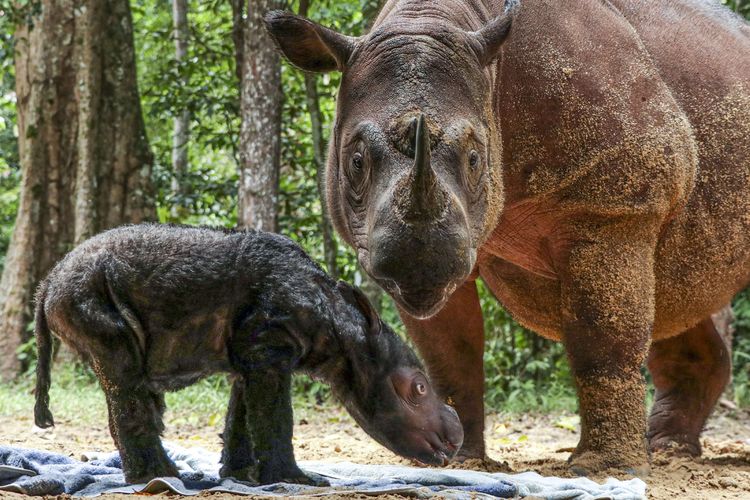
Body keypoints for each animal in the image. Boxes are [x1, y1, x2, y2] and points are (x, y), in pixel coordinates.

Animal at [33, 225, 464, 486]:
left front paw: (243, 477)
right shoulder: (269, 345)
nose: (456, 438)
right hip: (86, 293)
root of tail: (47, 282)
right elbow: (275, 416)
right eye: (419, 389)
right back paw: (162, 479)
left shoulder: (253, 351)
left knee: (123, 379)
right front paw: (297, 481)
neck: (343, 331)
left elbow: (242, 414)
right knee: (123, 373)